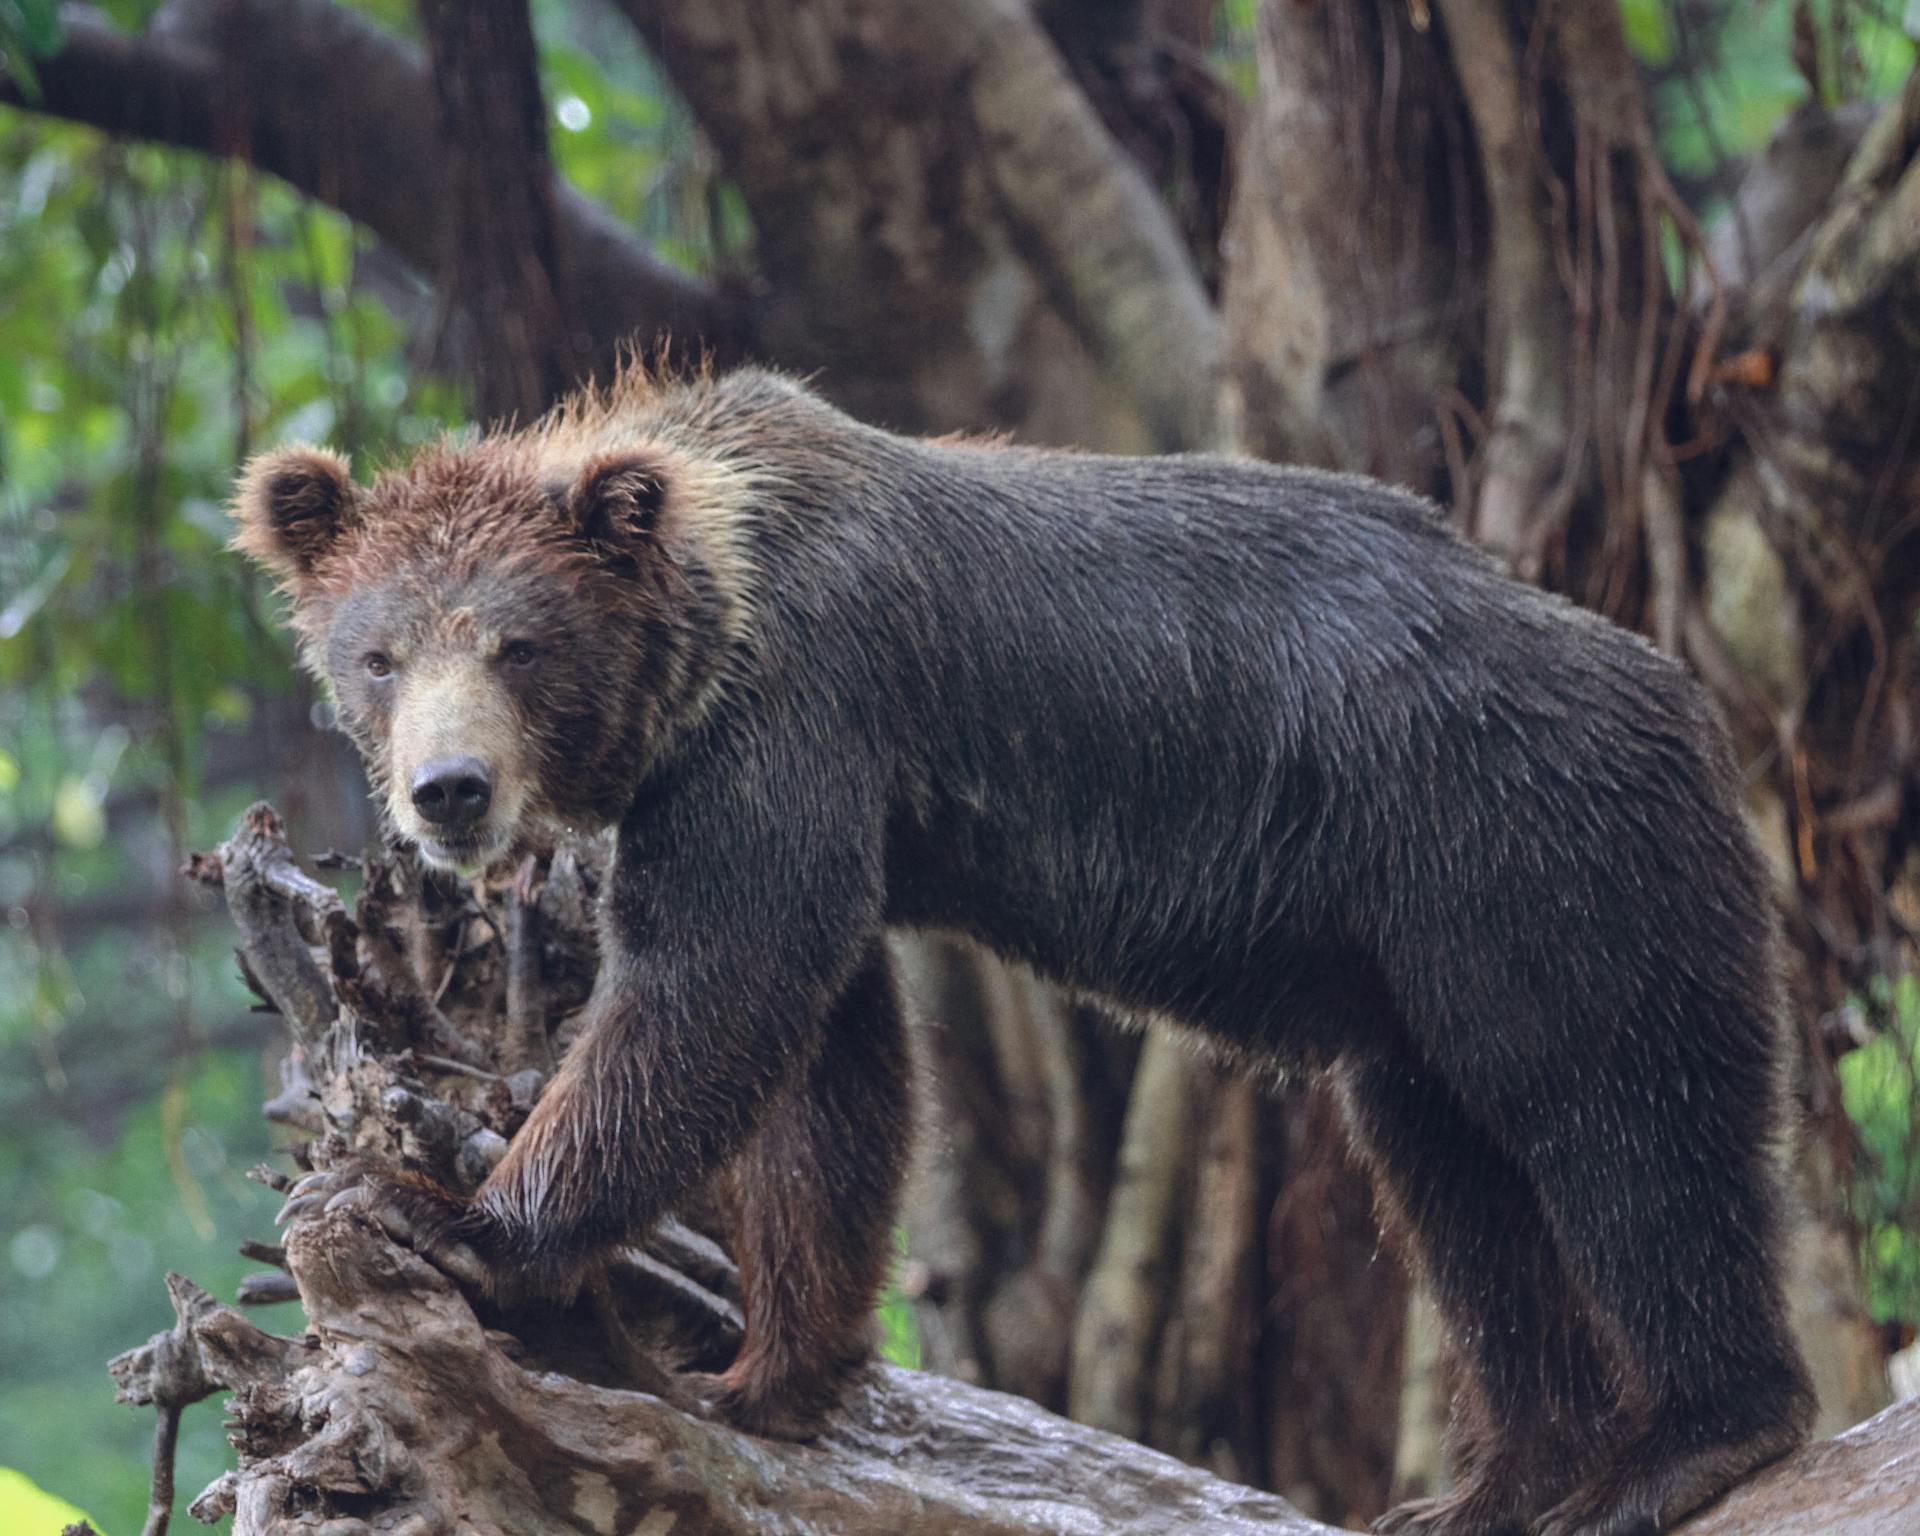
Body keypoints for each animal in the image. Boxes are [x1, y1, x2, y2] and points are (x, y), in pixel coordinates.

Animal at [236, 366, 1812, 1528]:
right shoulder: (804, 797)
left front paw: (464, 1214)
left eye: (518, 645)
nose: (448, 790)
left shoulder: (789, 728)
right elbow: (830, 1070)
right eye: (380, 654)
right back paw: (1497, 1487)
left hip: (1523, 854)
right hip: (1411, 963)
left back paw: (1692, 1442)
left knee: (1616, 1118)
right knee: (1455, 1180)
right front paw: (770, 1370)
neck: (705, 624)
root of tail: (1682, 694)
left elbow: (707, 998)